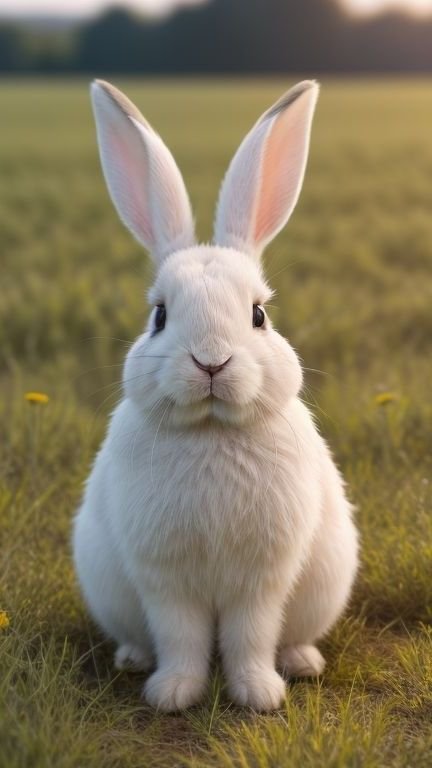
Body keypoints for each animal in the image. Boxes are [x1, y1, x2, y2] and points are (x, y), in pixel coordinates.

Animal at [73, 79, 359, 713]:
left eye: (258, 315)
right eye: (159, 315)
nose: (210, 361)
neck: (210, 428)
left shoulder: (262, 579)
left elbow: (251, 634)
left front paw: (258, 695)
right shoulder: (165, 578)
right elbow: (180, 636)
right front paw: (174, 693)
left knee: (288, 636)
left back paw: (302, 663)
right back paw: (133, 659)